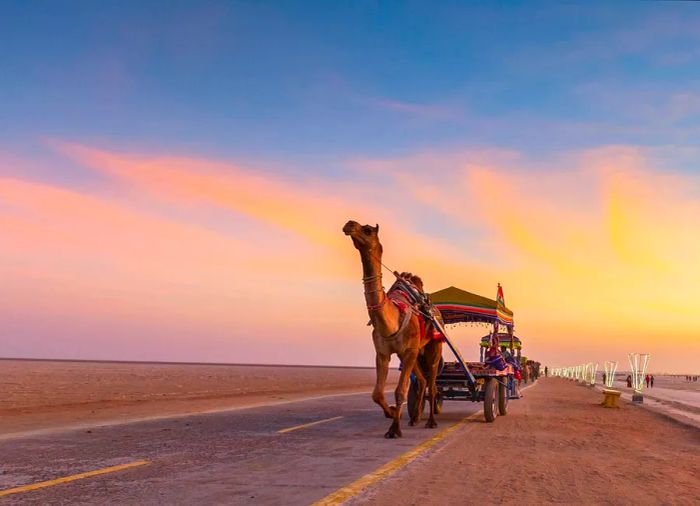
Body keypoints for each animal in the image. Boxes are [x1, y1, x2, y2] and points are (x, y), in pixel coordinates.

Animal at [342, 219, 440, 436]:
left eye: (368, 230)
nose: (349, 224)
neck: (392, 321)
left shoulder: (409, 349)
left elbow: (400, 391)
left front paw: (394, 429)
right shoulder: (383, 352)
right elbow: (377, 394)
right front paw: (392, 413)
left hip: (433, 346)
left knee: (432, 383)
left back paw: (431, 421)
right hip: (414, 353)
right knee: (422, 381)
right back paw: (414, 418)